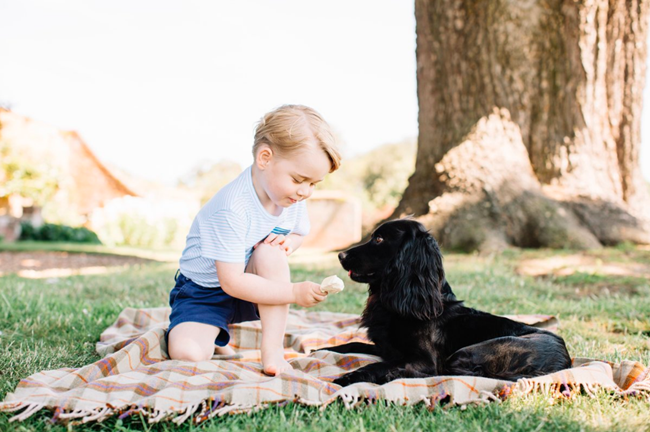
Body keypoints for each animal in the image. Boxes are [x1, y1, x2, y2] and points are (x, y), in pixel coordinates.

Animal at [324, 219, 568, 384]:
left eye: (379, 239)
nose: (340, 255)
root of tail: (564, 362)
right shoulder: (387, 348)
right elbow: (352, 345)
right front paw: (323, 349)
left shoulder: (424, 360)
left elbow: (379, 365)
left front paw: (348, 378)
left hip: (467, 353)